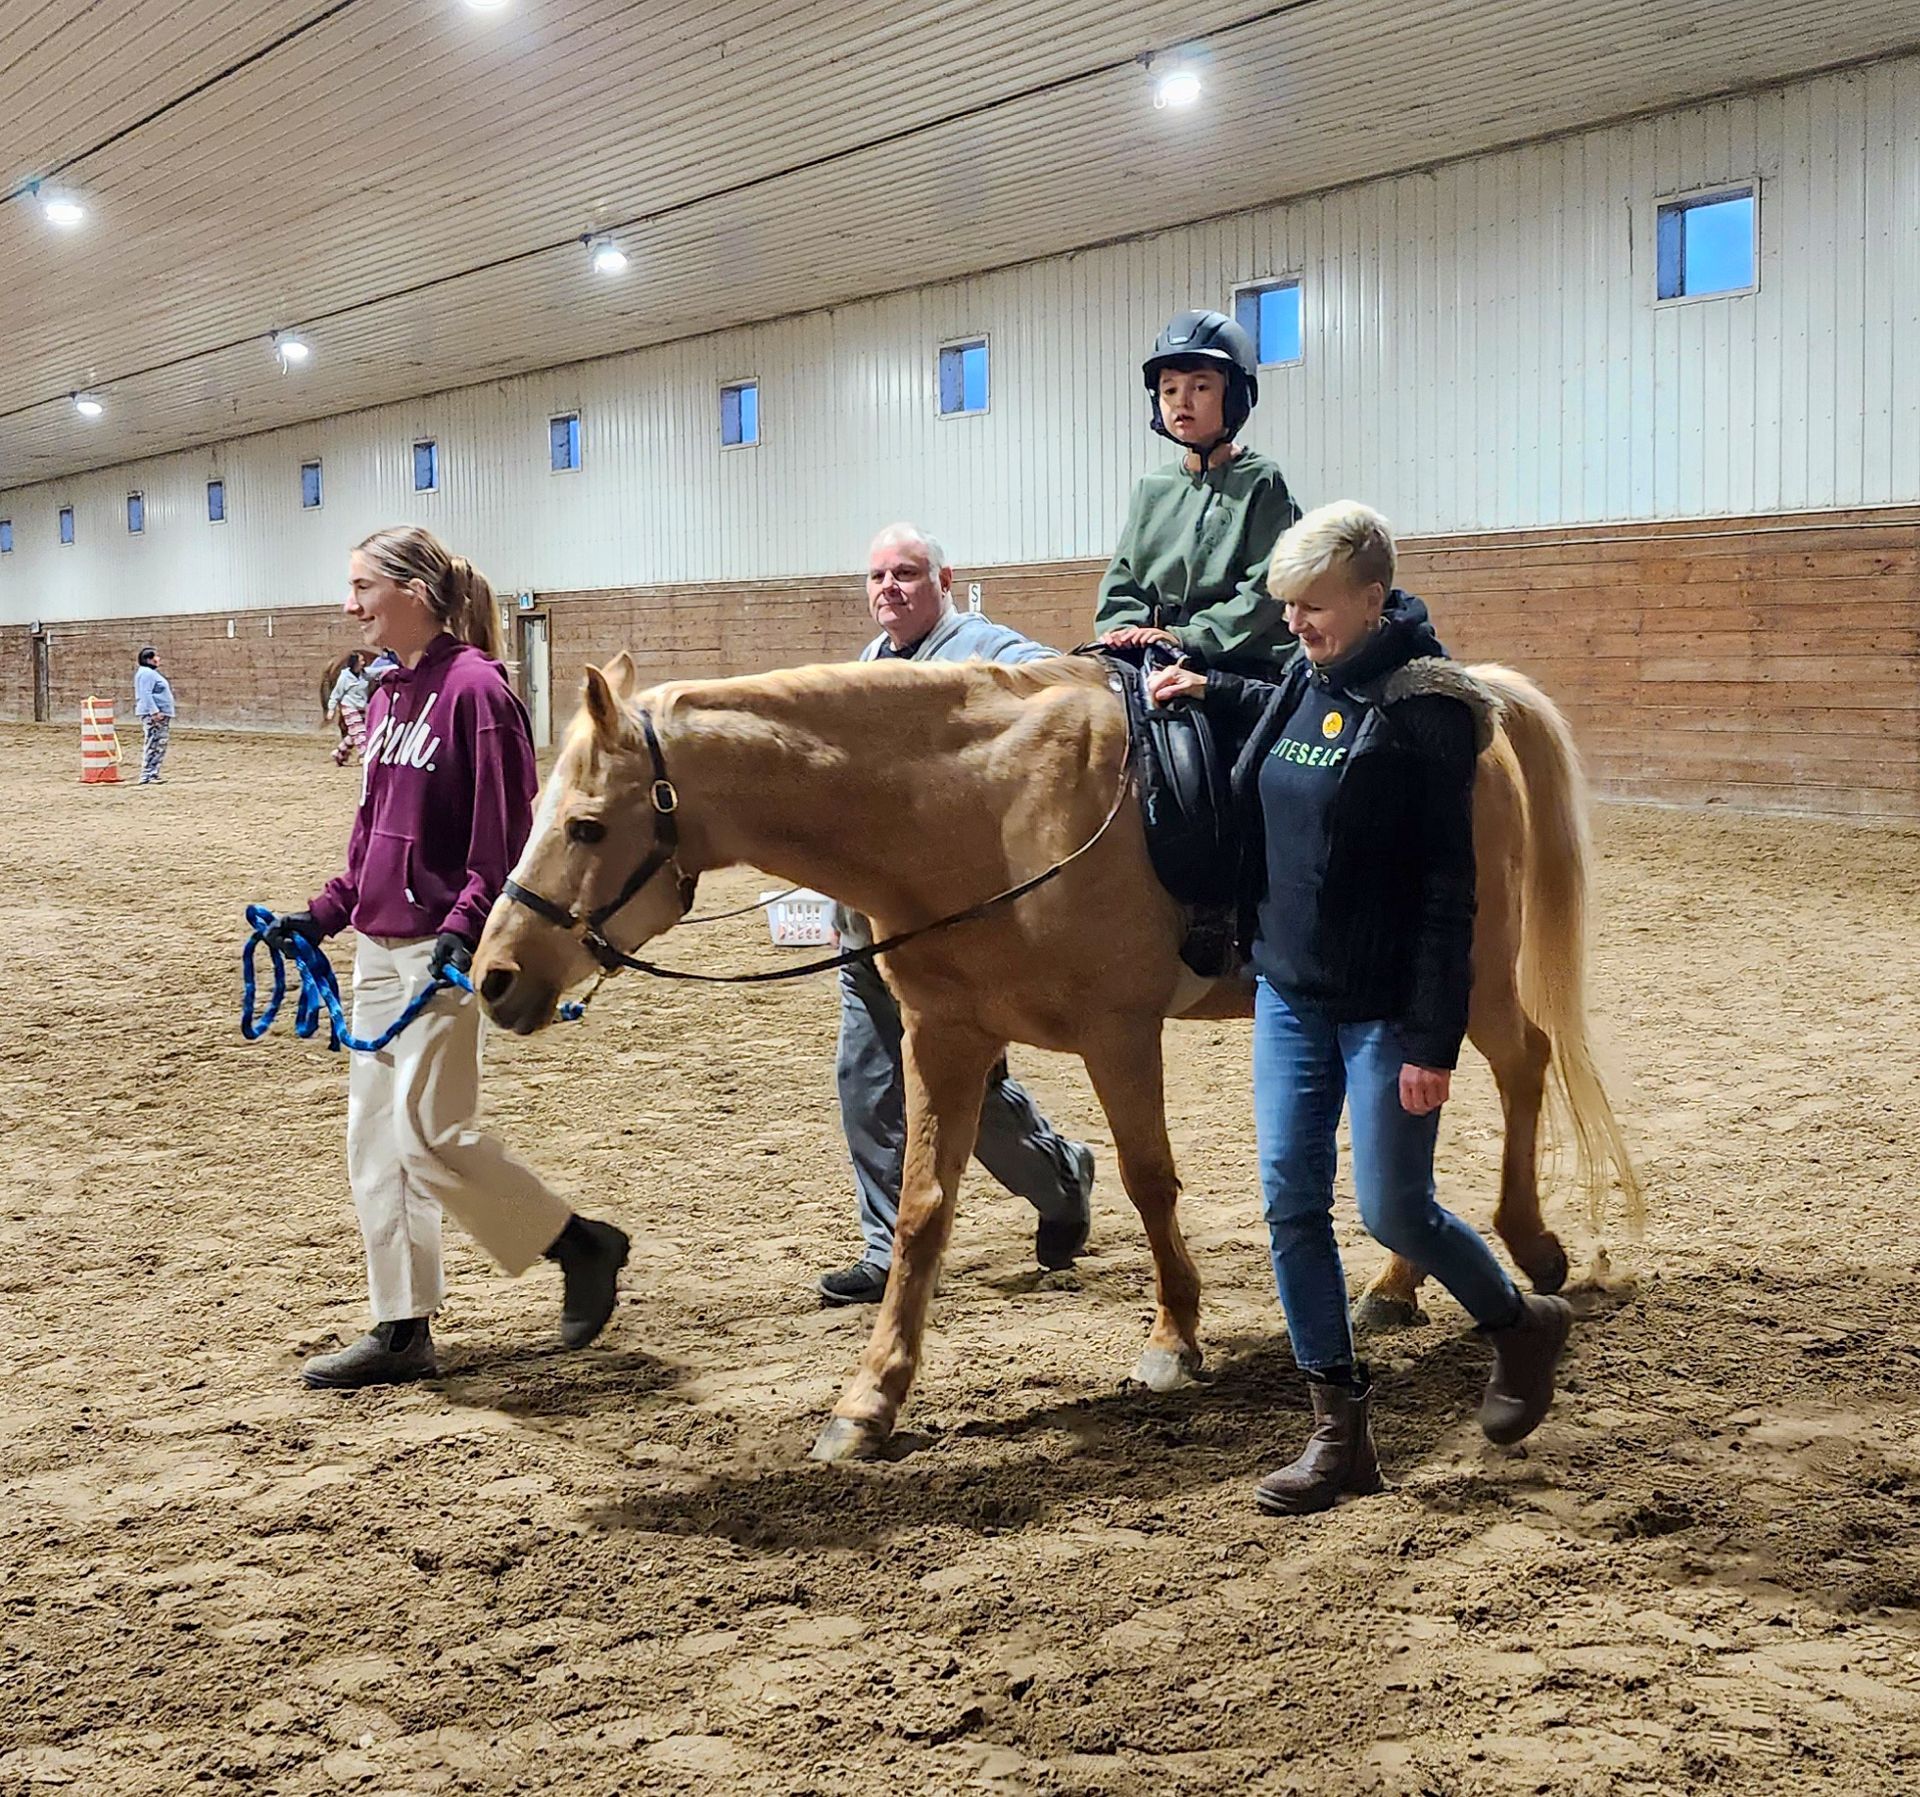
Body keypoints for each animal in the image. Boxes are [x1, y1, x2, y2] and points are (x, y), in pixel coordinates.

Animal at [471, 650, 1641, 1462]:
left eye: (586, 825)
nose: (492, 977)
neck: (976, 808)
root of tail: (1475, 706)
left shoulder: (1119, 1034)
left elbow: (1149, 1179)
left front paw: (1174, 1338)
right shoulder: (945, 1038)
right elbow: (921, 1214)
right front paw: (870, 1400)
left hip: (1468, 978)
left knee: (1525, 1063)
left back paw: (1532, 1247)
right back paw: (1396, 1286)